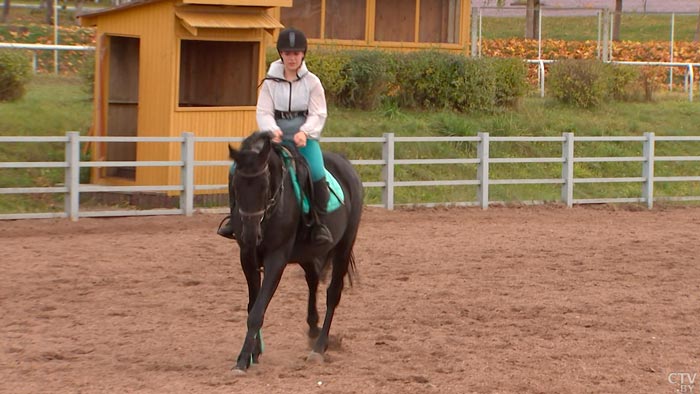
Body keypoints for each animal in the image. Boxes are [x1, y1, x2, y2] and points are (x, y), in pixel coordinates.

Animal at [227, 130, 364, 372]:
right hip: (306, 253)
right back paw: (313, 327)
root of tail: (346, 164)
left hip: (344, 247)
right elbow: (253, 305)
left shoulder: (276, 258)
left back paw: (319, 346)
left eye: (264, 185)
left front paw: (243, 360)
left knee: (333, 293)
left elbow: (257, 312)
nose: (251, 235)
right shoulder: (247, 257)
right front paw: (254, 352)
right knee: (313, 278)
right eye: (235, 185)